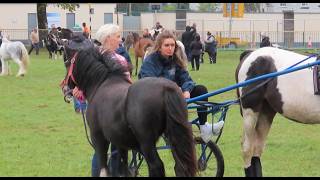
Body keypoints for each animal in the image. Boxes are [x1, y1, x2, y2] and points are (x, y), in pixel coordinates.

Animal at [58, 45, 196, 177]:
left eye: (67, 62)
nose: (65, 88)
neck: (101, 84)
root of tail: (166, 88)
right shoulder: (120, 142)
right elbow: (123, 167)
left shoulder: (98, 138)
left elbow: (104, 169)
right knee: (179, 167)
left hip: (146, 143)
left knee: (156, 166)